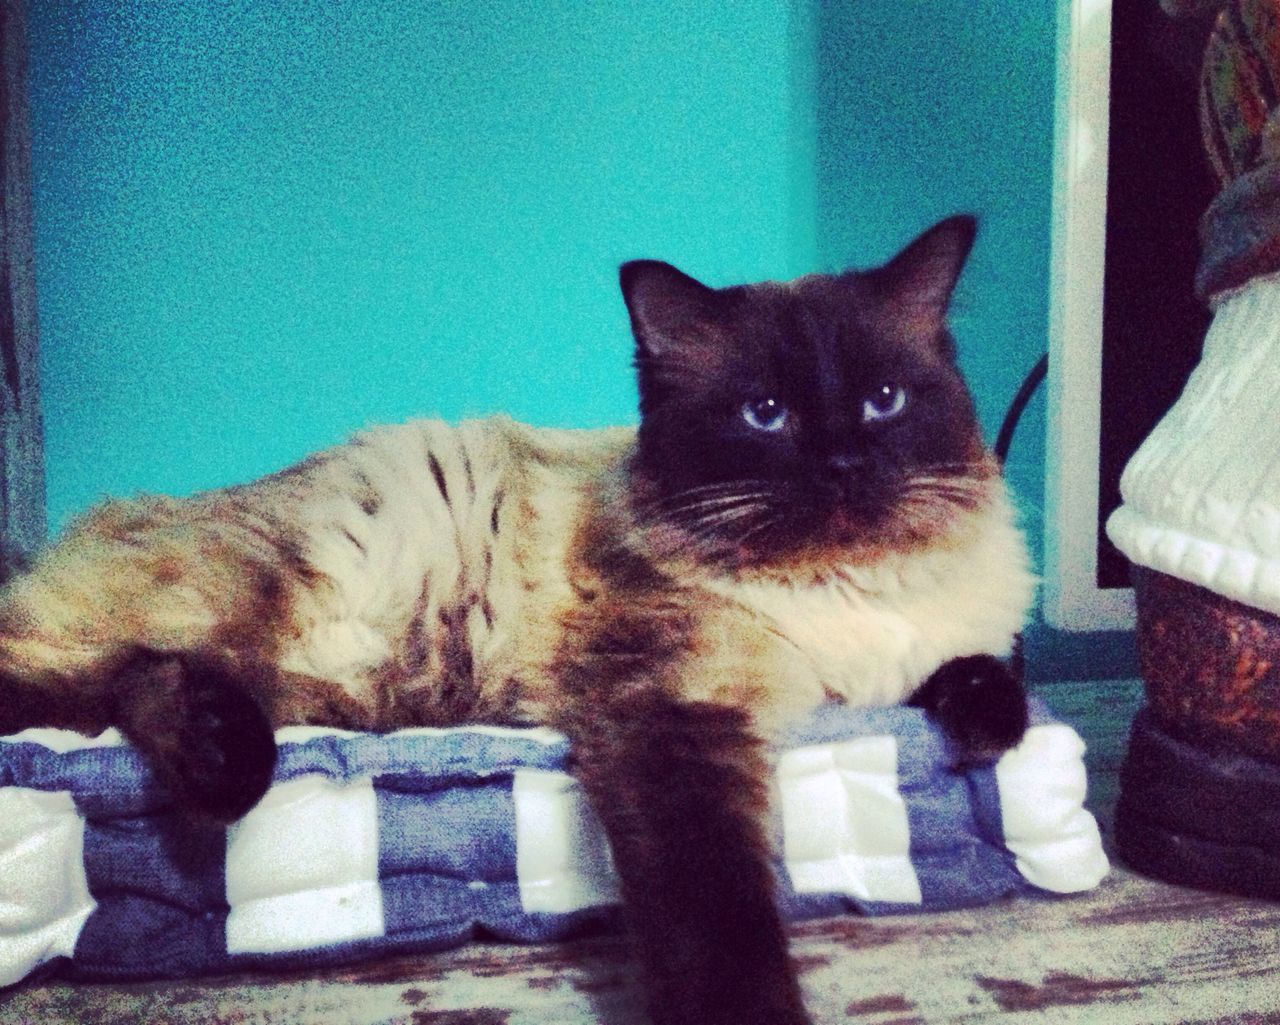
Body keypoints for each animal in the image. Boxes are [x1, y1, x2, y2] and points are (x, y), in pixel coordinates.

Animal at [0, 212, 1029, 1018]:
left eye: (883, 401)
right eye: (766, 414)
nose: (845, 467)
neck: (841, 593)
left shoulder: (914, 656)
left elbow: (989, 676)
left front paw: (985, 721)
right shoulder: (675, 714)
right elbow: (718, 909)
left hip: (312, 686)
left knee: (141, 682)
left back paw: (224, 767)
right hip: (253, 613)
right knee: (102, 676)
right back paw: (225, 772)